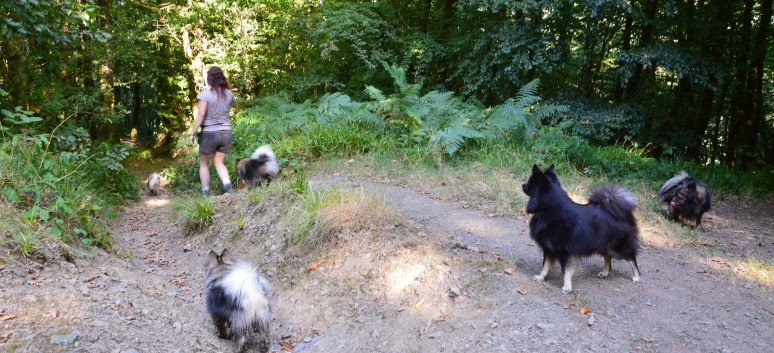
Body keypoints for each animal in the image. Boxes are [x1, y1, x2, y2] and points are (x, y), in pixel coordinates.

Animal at [524, 164, 644, 292]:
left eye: (529, 182)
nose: (523, 185)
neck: (548, 209)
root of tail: (624, 213)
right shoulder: (549, 249)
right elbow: (545, 266)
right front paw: (541, 277)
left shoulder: (564, 252)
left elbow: (565, 271)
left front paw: (567, 287)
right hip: (602, 244)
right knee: (608, 257)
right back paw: (605, 272)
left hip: (618, 246)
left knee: (631, 259)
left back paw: (636, 276)